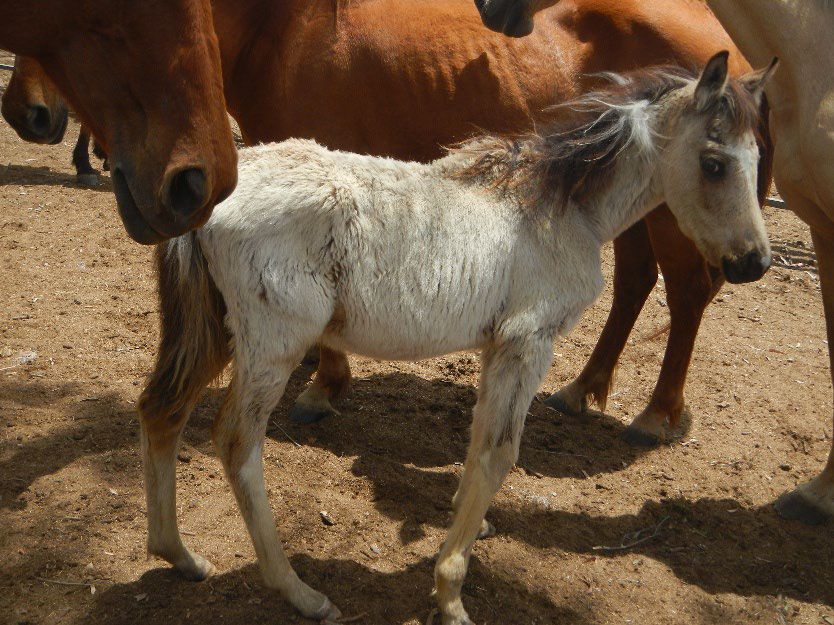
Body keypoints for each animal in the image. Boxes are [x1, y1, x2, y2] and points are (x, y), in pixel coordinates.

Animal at [138, 55, 775, 625]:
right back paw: (300, 592)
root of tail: (214, 197)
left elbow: (477, 441)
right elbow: (501, 452)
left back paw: (180, 556)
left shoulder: (498, 346)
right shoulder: (529, 342)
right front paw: (450, 593)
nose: (755, 262)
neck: (560, 209)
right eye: (714, 163)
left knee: (161, 411)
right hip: (273, 344)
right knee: (235, 442)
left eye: (758, 158)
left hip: (215, 332)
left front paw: (472, 527)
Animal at [475, 0, 834, 527]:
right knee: (640, 283)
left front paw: (817, 496)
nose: (489, 8)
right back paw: (586, 390)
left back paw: (653, 415)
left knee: (681, 291)